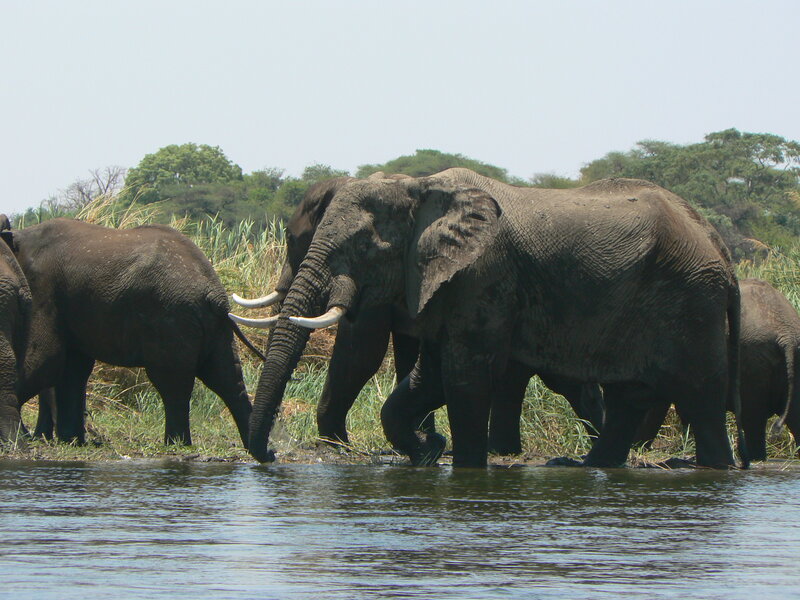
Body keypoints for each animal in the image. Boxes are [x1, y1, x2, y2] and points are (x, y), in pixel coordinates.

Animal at [0, 218, 258, 447]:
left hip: (172, 317)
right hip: (212, 325)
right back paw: (257, 450)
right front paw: (71, 441)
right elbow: (73, 367)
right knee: (226, 378)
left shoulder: (43, 288)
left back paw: (176, 444)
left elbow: (45, 357)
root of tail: (215, 293)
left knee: (172, 383)